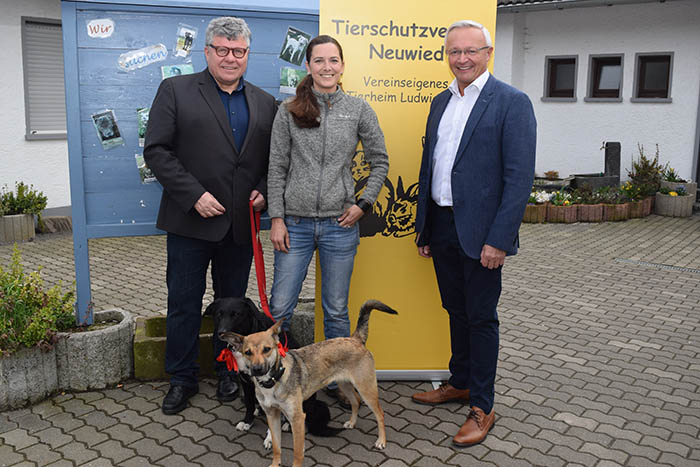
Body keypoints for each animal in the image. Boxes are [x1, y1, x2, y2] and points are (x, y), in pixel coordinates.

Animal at [202, 296, 342, 442]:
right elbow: (249, 403)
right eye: (219, 314)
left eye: (236, 314)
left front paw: (270, 438)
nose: (221, 332)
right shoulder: (246, 380)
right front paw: (247, 421)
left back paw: (287, 424)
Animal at [221, 300, 396, 467]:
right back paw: (352, 422)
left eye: (267, 349)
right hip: (344, 384)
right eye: (247, 352)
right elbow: (277, 447)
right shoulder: (272, 415)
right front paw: (275, 464)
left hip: (367, 389)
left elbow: (298, 453)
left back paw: (381, 441)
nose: (257, 369)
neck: (274, 381)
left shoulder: (297, 418)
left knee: (379, 413)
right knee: (355, 401)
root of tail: (354, 338)